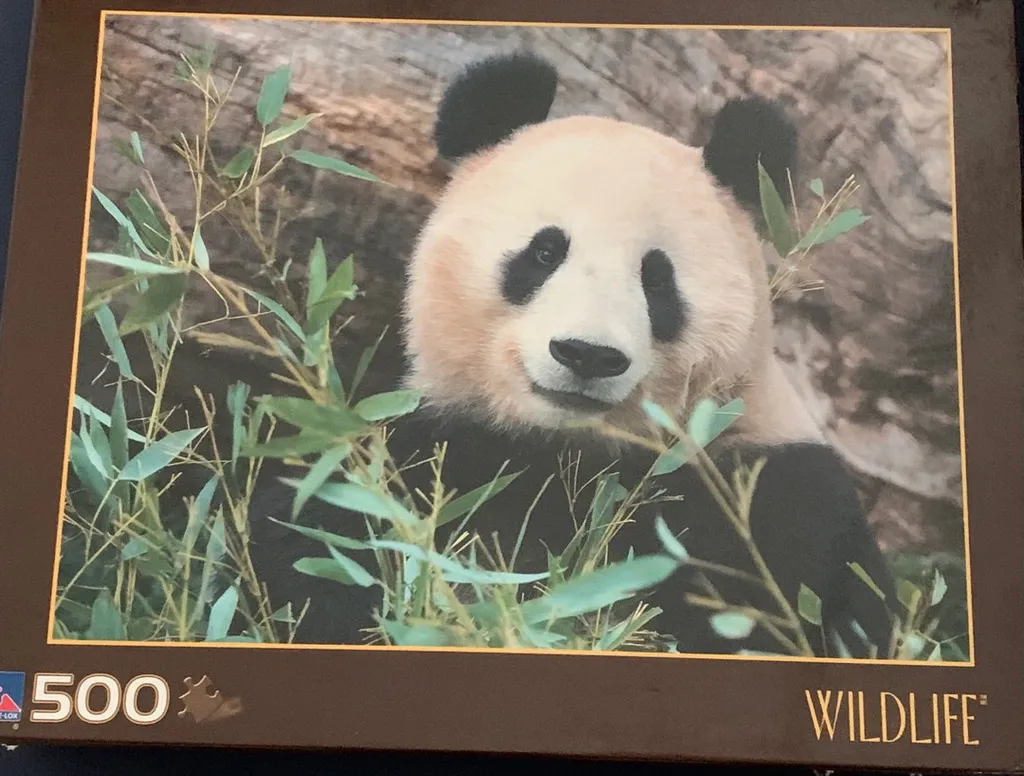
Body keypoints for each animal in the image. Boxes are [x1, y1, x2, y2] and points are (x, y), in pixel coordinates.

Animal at [246, 52, 898, 659]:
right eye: (544, 252)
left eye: (657, 278)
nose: (587, 355)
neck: (570, 450)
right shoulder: (433, 447)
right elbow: (317, 544)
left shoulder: (761, 487)